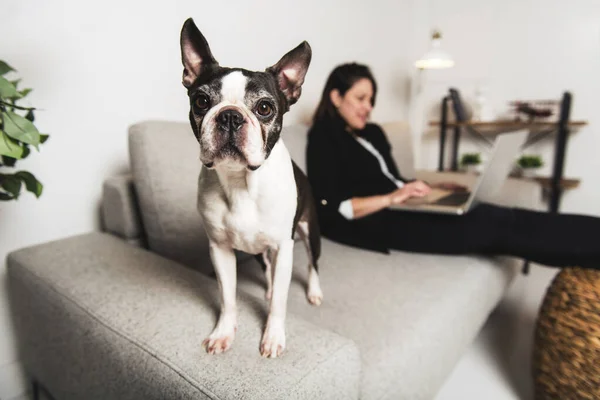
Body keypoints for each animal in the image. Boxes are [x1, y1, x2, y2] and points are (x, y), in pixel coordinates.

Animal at [179, 18, 324, 360]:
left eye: (265, 108)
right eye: (201, 101)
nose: (230, 116)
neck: (241, 182)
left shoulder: (285, 246)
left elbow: (280, 304)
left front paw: (273, 337)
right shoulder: (220, 250)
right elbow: (228, 297)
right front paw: (223, 333)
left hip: (309, 231)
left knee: (312, 264)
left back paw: (313, 291)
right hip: (260, 251)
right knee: (269, 270)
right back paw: (269, 288)